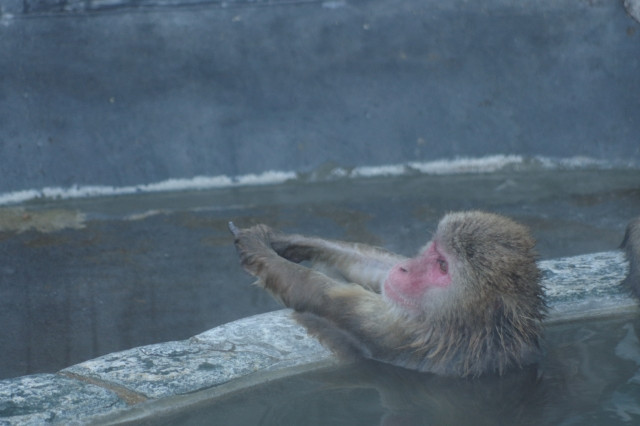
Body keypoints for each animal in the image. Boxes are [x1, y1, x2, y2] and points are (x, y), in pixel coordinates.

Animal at [229, 212, 640, 376]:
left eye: (443, 266)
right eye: (433, 251)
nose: (408, 269)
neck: (468, 327)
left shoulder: (406, 334)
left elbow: (324, 297)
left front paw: (259, 249)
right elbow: (378, 269)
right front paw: (289, 241)